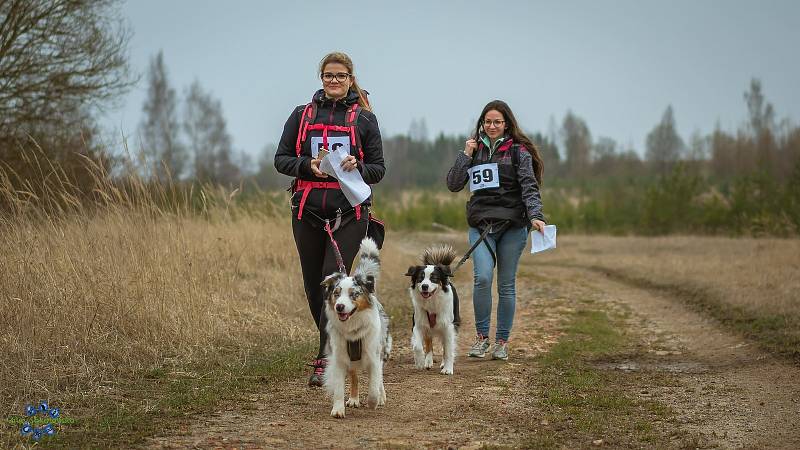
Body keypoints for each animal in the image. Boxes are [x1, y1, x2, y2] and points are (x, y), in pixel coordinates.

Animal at [320, 239, 392, 418]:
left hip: (382, 350)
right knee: (354, 376)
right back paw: (353, 399)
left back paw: (381, 396)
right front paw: (338, 410)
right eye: (337, 293)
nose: (339, 307)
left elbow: (373, 385)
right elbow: (339, 388)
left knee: (379, 379)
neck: (352, 328)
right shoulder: (339, 358)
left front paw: (374, 401)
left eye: (354, 294)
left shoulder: (374, 357)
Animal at [404, 244, 460, 374]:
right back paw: (428, 361)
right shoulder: (418, 324)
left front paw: (447, 369)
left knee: (445, 346)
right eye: (420, 278)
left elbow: (448, 350)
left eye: (434, 278)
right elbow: (418, 346)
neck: (432, 301)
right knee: (429, 342)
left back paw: (443, 364)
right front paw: (419, 362)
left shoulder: (449, 327)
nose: (425, 286)